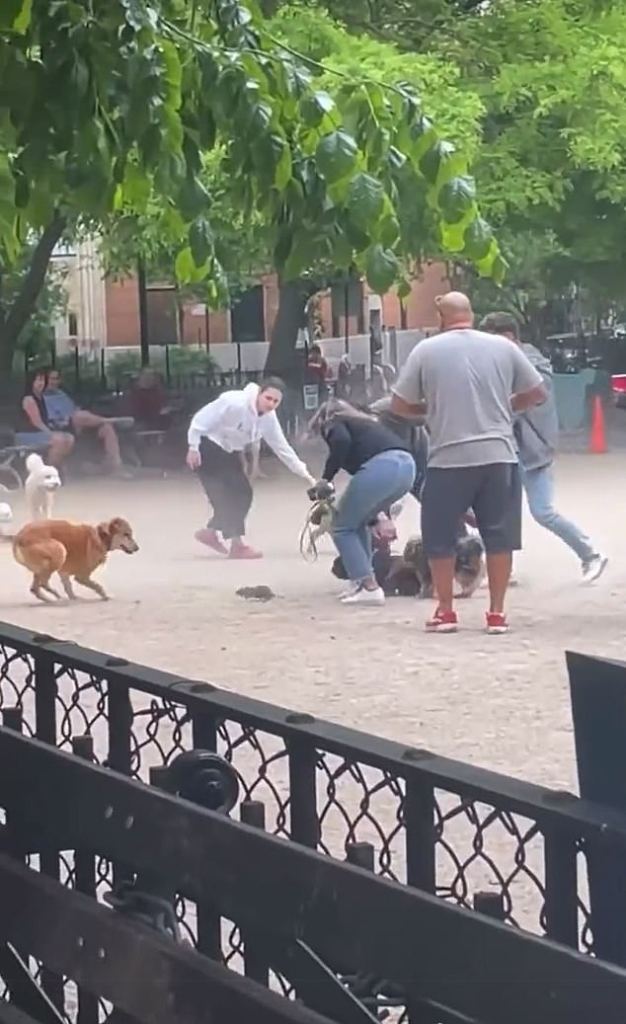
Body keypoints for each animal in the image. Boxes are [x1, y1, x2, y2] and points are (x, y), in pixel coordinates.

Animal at [11, 516, 139, 602]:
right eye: (126, 534)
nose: (137, 548)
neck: (101, 538)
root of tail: (19, 537)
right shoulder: (82, 576)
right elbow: (98, 586)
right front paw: (105, 596)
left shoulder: (64, 572)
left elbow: (68, 587)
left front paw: (74, 598)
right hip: (60, 550)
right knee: (42, 583)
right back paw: (56, 597)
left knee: (35, 588)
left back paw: (49, 599)